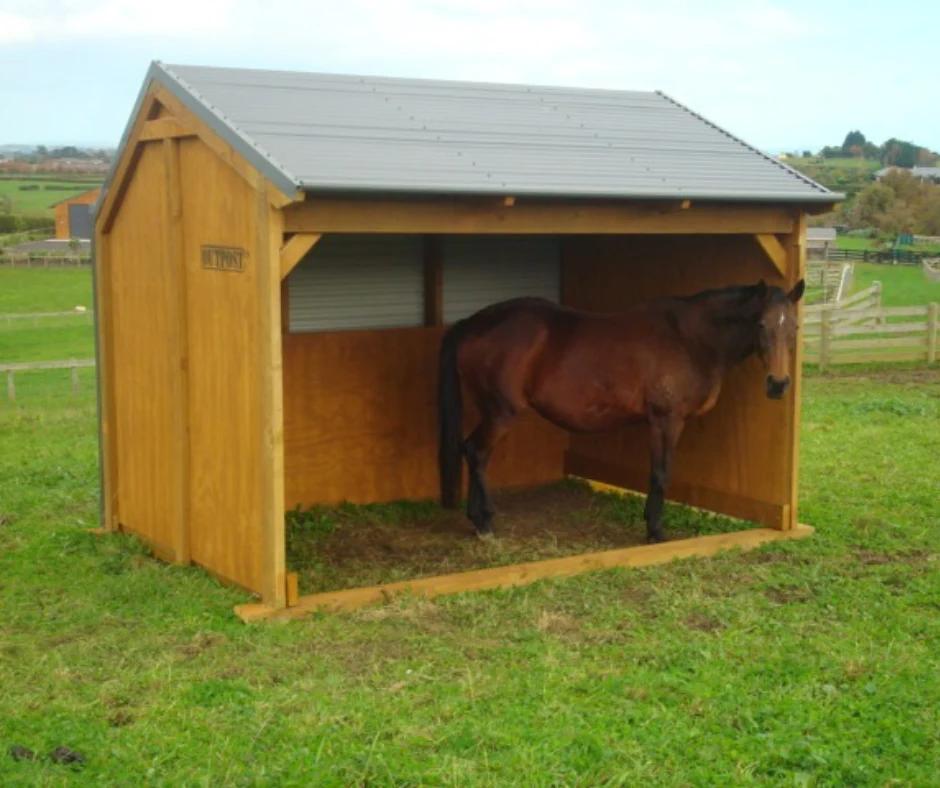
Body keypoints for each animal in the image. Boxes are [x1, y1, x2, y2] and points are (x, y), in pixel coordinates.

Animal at [437, 278, 805, 543]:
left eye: (794, 328)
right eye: (761, 324)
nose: (778, 384)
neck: (690, 338)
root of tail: (473, 323)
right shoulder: (665, 420)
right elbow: (660, 474)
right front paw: (654, 531)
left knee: (472, 451)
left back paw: (477, 520)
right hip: (501, 411)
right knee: (477, 452)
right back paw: (486, 523)